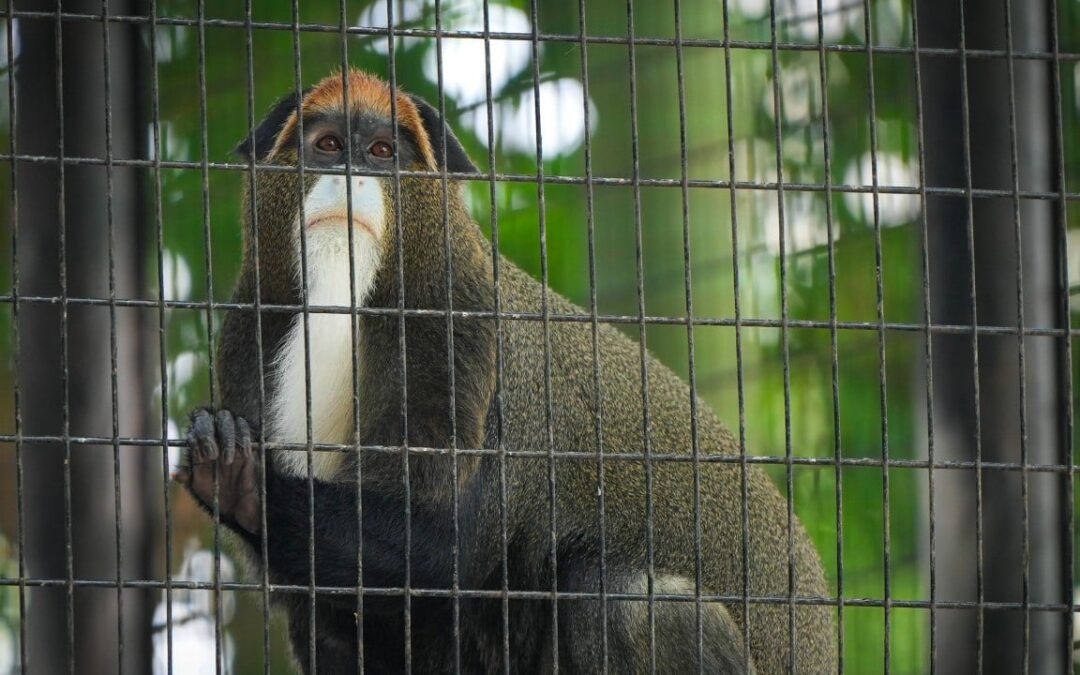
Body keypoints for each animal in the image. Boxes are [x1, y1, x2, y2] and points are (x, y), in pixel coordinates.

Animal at [174, 69, 833, 673]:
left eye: (382, 152)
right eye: (329, 145)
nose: (348, 176)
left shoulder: (461, 321)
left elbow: (441, 546)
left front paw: (244, 481)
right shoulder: (250, 327)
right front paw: (227, 464)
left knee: (627, 603)